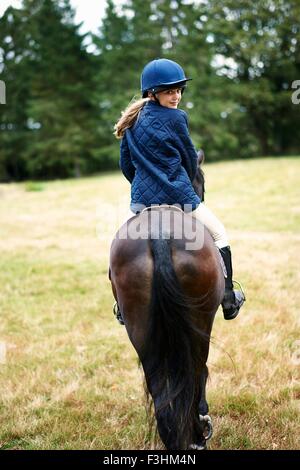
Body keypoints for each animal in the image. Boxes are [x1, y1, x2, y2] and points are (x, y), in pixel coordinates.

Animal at [109, 152, 224, 450]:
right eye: (202, 180)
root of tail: (159, 234)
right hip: (199, 326)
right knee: (196, 374)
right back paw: (198, 434)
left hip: (140, 330)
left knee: (160, 393)